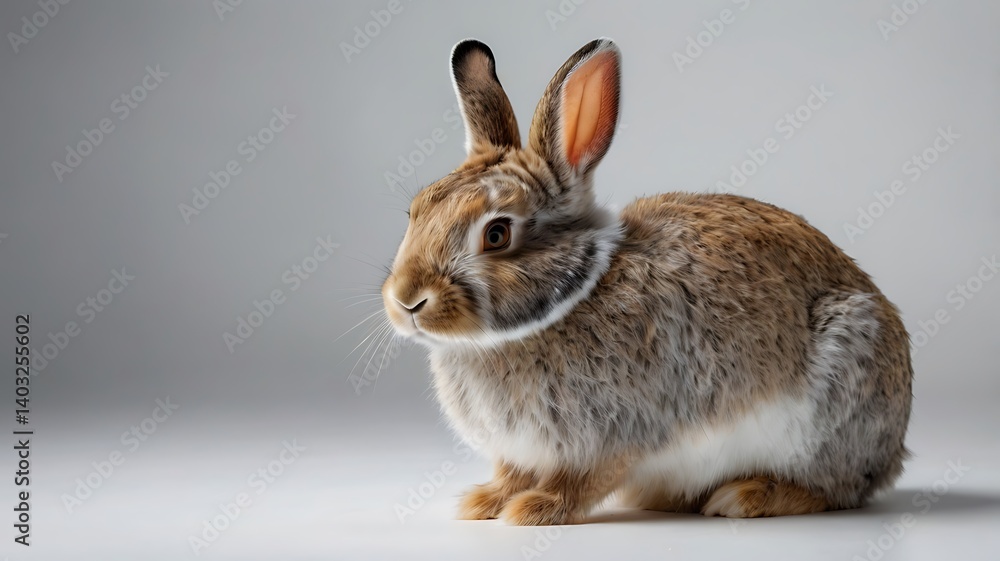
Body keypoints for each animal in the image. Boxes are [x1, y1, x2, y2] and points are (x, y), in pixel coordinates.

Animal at [380, 38, 913, 526]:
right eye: (416, 210)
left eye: (497, 234)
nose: (407, 301)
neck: (569, 300)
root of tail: (894, 451)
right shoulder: (520, 450)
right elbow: (512, 473)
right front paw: (484, 503)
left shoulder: (617, 433)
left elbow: (582, 480)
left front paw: (534, 509)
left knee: (837, 489)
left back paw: (745, 496)